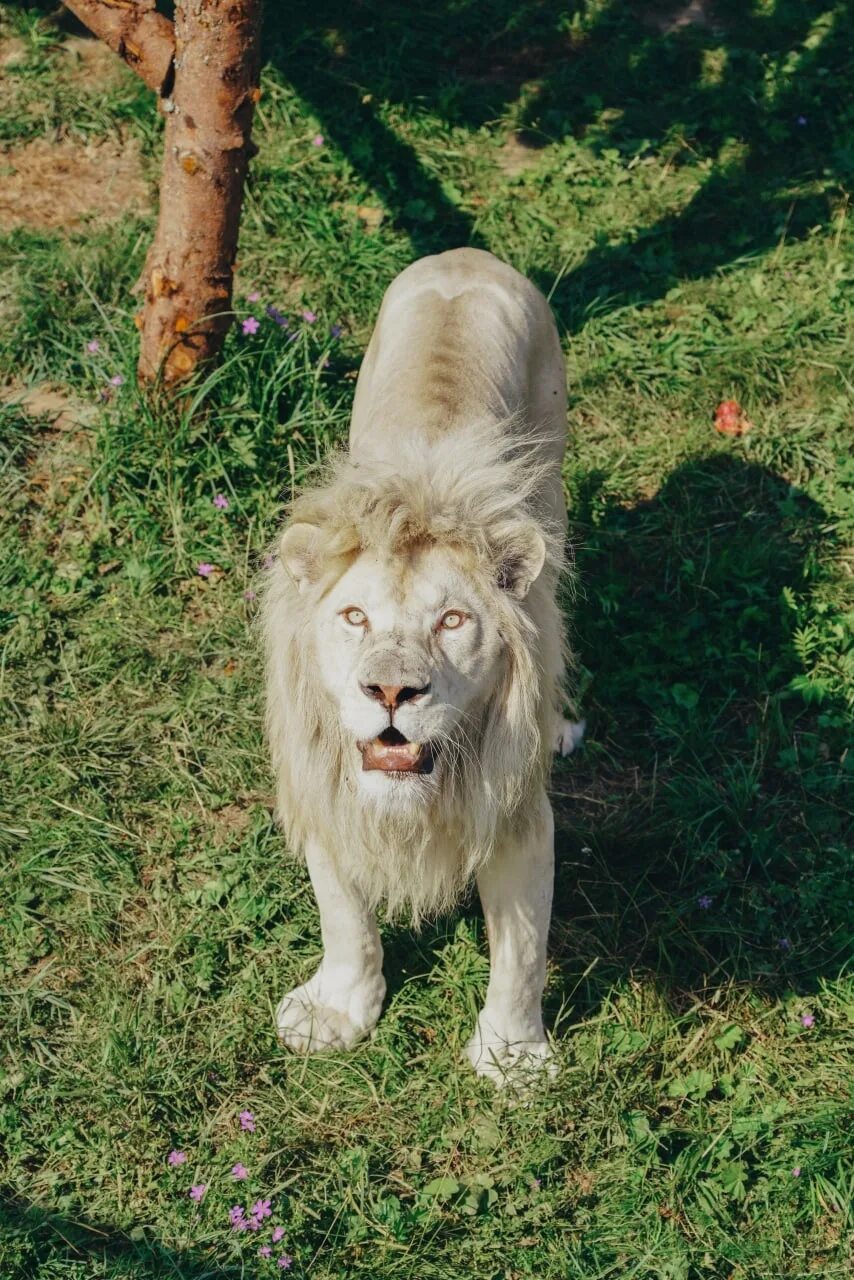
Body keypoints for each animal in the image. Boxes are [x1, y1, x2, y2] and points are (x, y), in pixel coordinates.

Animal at [263, 247, 578, 1080]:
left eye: (452, 621)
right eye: (354, 617)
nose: (391, 689)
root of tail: (466, 258)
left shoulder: (517, 809)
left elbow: (522, 949)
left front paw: (513, 1058)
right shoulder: (327, 786)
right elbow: (344, 915)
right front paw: (338, 1011)